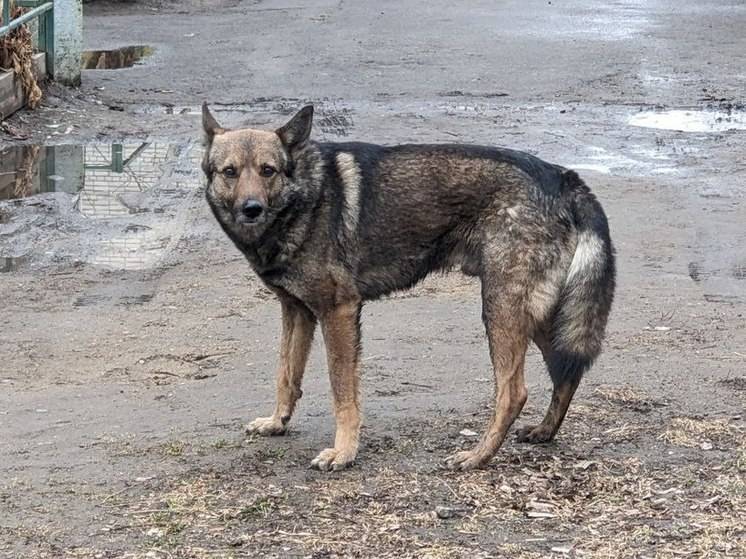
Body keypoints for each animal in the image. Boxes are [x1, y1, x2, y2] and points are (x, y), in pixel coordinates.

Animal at [201, 104, 612, 472]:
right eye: (230, 172)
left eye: (268, 171)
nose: (251, 209)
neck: (305, 195)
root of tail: (561, 175)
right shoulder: (298, 313)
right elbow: (286, 375)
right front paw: (277, 422)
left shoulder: (338, 313)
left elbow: (342, 391)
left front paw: (344, 452)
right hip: (537, 316)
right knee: (566, 373)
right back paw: (545, 431)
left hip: (501, 310)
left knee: (513, 393)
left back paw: (478, 456)